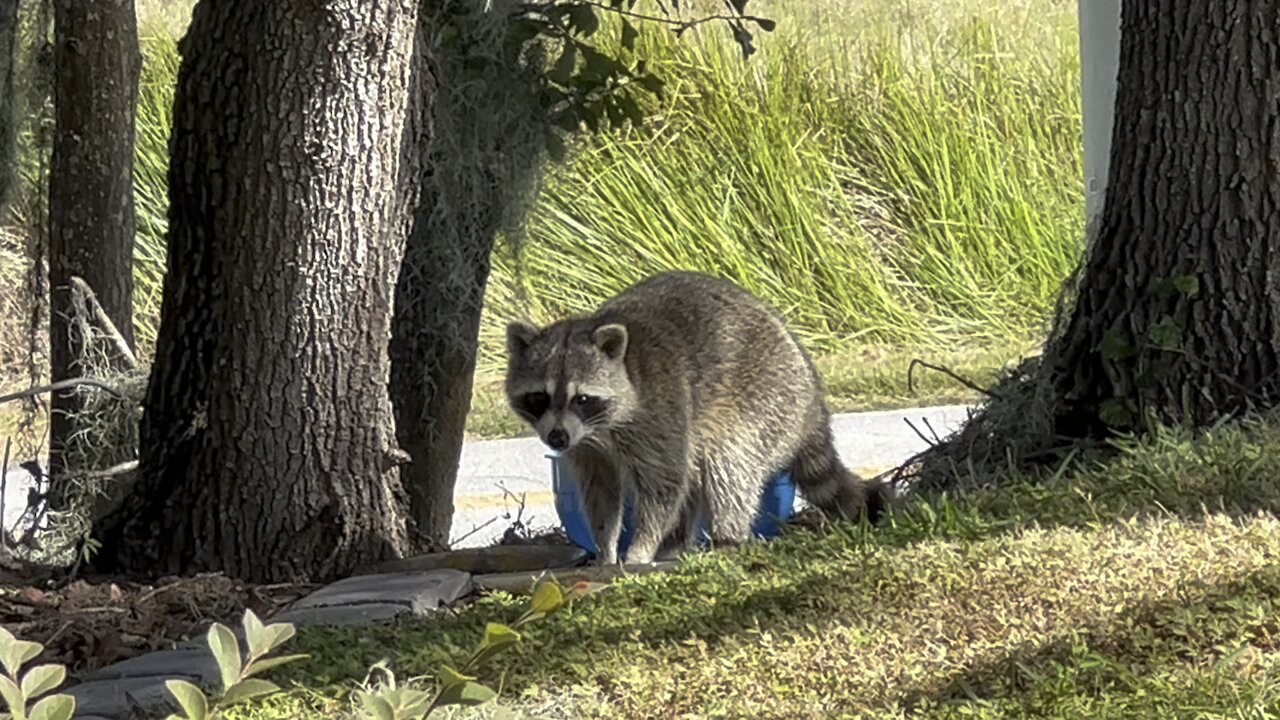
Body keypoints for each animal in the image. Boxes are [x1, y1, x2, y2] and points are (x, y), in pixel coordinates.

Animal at [504, 271, 885, 565]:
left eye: (582, 398)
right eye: (539, 397)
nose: (557, 438)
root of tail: (810, 390)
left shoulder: (658, 409)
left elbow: (665, 482)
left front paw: (641, 547)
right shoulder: (587, 446)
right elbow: (602, 492)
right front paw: (605, 549)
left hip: (767, 399)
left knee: (728, 464)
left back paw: (726, 538)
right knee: (697, 468)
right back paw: (675, 544)